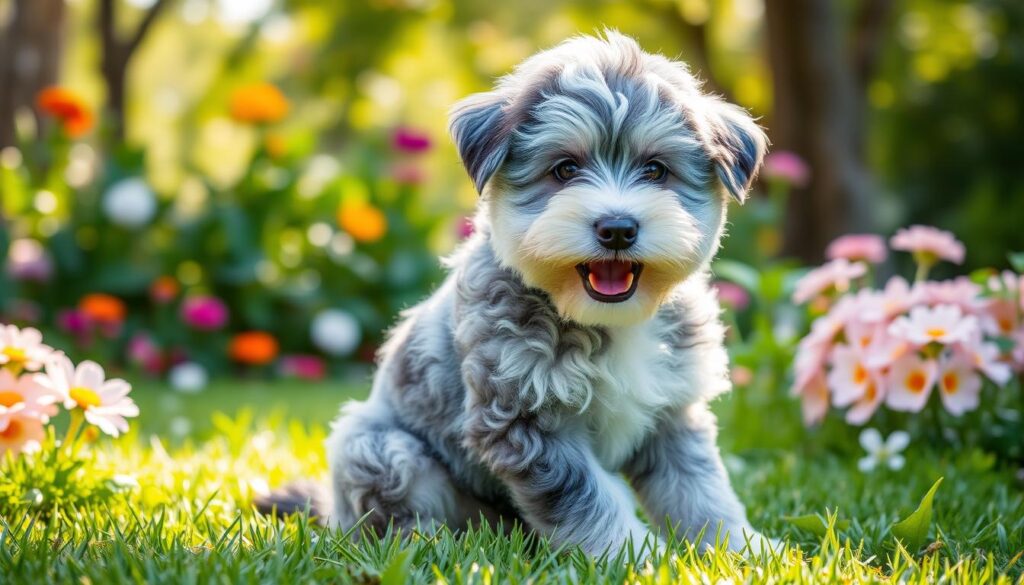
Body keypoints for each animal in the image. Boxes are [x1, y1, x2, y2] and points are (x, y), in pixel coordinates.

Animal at [260, 30, 770, 553]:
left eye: (655, 170)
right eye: (564, 170)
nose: (617, 229)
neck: (607, 322)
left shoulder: (674, 414)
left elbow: (699, 489)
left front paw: (739, 548)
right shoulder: (524, 421)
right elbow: (589, 500)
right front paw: (629, 555)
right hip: (376, 447)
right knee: (391, 518)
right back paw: (436, 544)